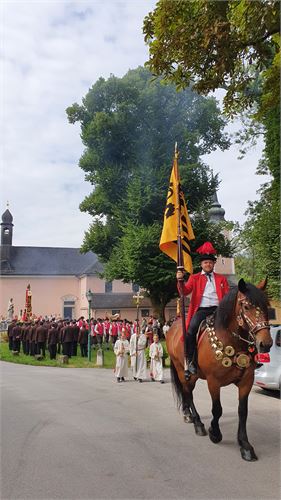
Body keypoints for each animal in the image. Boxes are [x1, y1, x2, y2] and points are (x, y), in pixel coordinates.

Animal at [166, 278, 272, 460]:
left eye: (266, 306)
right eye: (246, 306)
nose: (266, 343)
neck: (232, 340)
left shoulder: (246, 381)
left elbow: (242, 411)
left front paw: (245, 445)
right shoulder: (213, 382)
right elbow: (217, 409)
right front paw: (214, 433)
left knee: (187, 394)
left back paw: (188, 415)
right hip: (184, 371)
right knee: (188, 393)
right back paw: (197, 422)